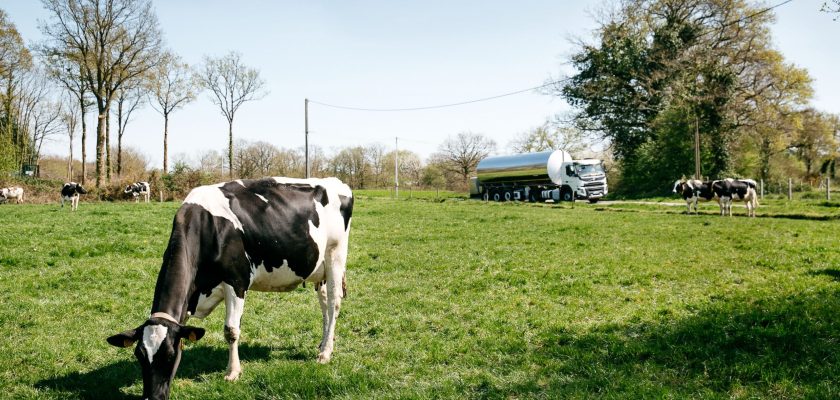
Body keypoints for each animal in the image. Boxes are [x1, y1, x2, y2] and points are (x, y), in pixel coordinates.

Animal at [107, 177, 354, 400]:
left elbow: (231, 330)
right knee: (324, 305)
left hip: (335, 255)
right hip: (319, 270)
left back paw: (325, 353)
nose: (153, 398)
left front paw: (233, 372)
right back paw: (324, 342)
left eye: (169, 354)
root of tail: (336, 182)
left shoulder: (237, 281)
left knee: (334, 303)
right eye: (139, 355)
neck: (208, 227)